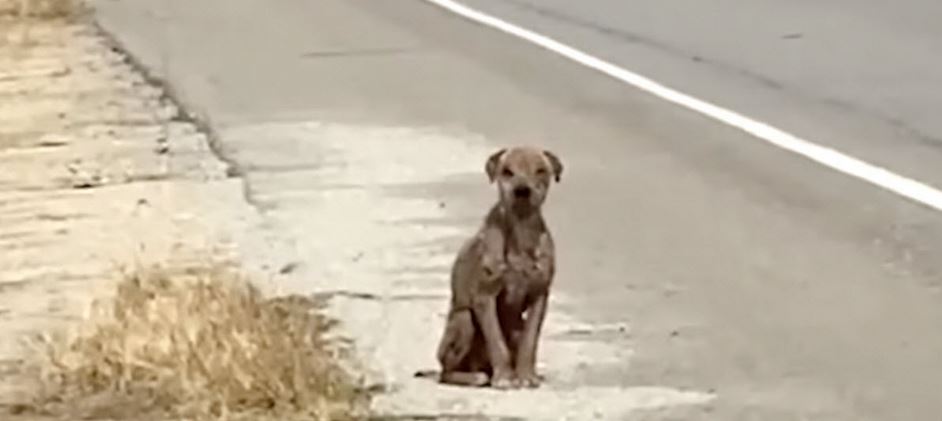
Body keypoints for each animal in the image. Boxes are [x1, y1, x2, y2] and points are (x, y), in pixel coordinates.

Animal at [432, 146, 564, 388]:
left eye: (540, 170)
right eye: (507, 171)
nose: (522, 190)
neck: (521, 232)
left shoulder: (539, 296)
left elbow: (530, 342)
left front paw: (526, 375)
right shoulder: (485, 297)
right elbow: (496, 342)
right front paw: (503, 376)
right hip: (464, 320)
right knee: (446, 372)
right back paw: (476, 377)